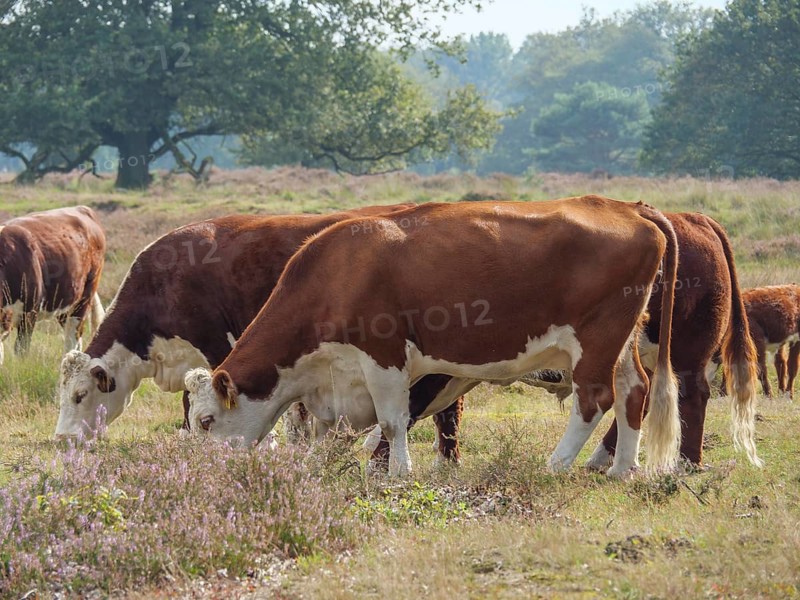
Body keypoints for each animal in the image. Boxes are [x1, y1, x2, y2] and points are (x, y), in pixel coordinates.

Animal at [0, 206, 106, 365]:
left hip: (85, 295)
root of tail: (82, 208)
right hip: (65, 302)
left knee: (73, 335)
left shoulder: (30, 312)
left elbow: (21, 350)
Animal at [185, 196, 683, 478]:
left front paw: (397, 473)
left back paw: (556, 465)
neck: (338, 271)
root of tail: (628, 207)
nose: (201, 473)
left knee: (594, 398)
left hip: (595, 339)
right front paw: (313, 467)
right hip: (621, 340)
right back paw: (621, 469)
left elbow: (392, 421)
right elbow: (322, 431)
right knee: (633, 390)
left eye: (207, 420)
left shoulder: (384, 356)